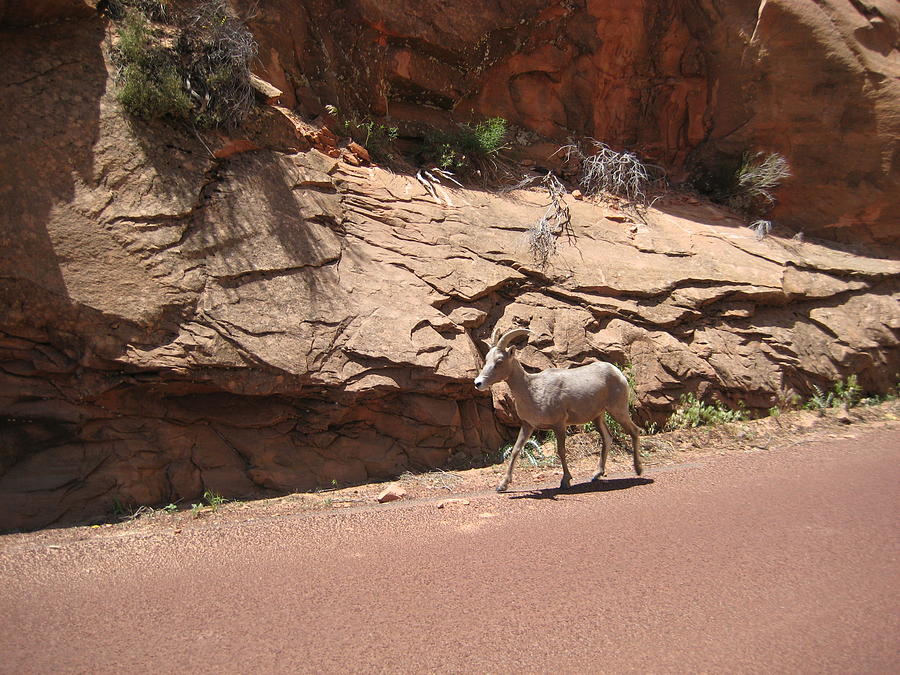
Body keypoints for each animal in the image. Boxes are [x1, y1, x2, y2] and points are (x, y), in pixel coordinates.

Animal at [474, 328, 644, 492]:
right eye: (486, 359)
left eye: (499, 361)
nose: (478, 383)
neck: (532, 390)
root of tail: (617, 372)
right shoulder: (528, 425)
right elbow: (516, 450)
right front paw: (502, 486)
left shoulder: (559, 425)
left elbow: (561, 450)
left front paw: (565, 481)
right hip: (598, 417)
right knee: (607, 438)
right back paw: (597, 474)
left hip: (618, 410)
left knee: (634, 431)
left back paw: (638, 470)